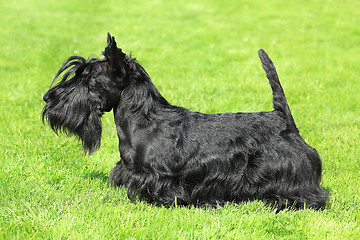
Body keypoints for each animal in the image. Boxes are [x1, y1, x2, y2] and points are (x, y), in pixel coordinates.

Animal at [43, 33, 330, 210]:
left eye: (87, 78)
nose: (47, 98)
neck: (143, 122)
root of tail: (283, 118)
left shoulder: (161, 178)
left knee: (311, 195)